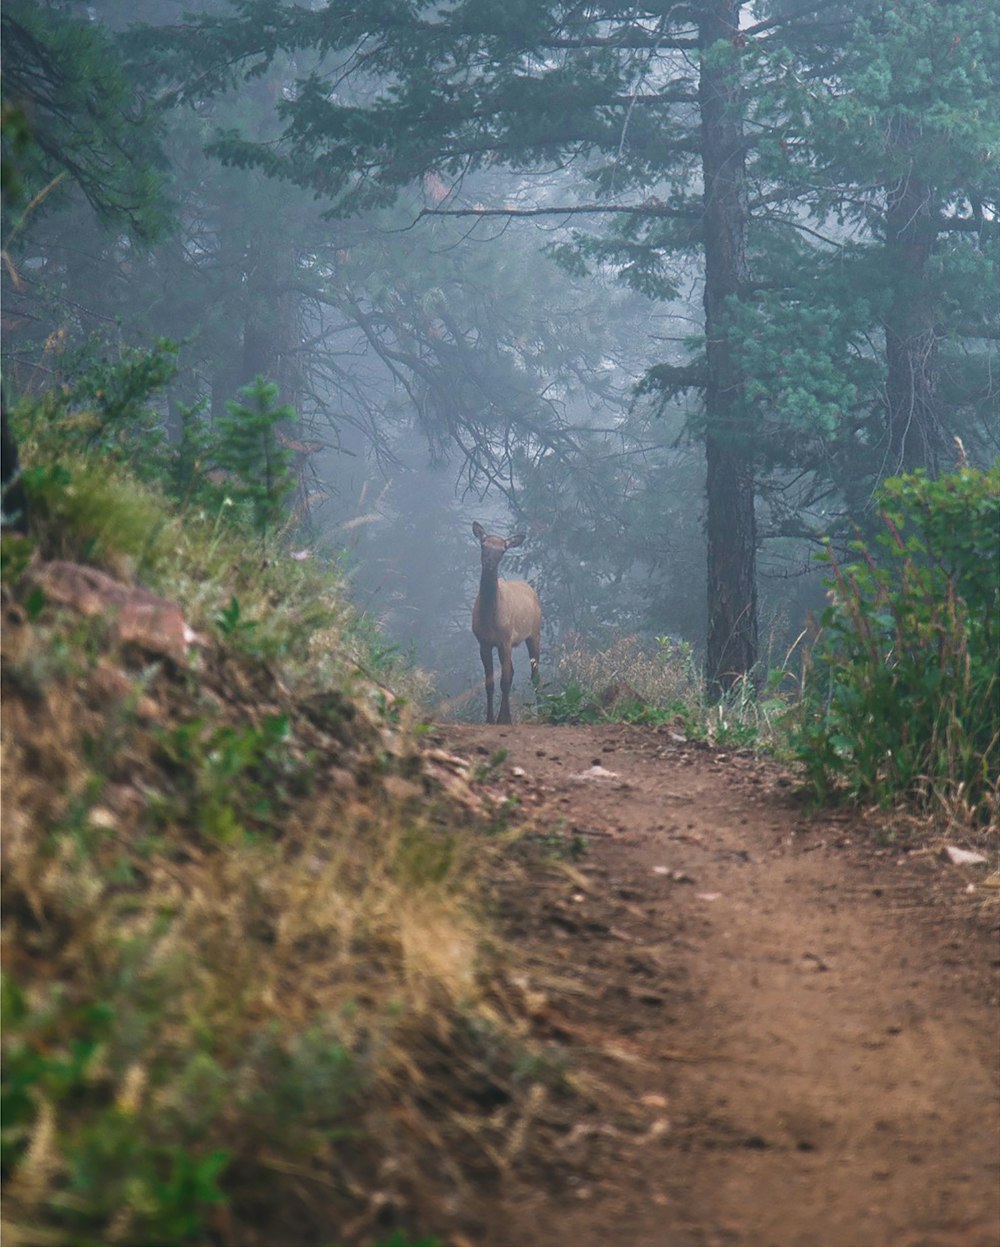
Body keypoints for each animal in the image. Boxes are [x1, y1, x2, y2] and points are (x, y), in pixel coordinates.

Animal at [471, 521, 541, 728]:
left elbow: (505, 679)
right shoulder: (484, 642)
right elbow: (490, 682)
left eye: (503, 550)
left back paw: (543, 710)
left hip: (535, 633)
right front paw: (489, 719)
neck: (490, 619)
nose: (489, 563)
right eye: (483, 545)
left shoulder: (505, 639)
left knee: (535, 675)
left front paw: (504, 719)